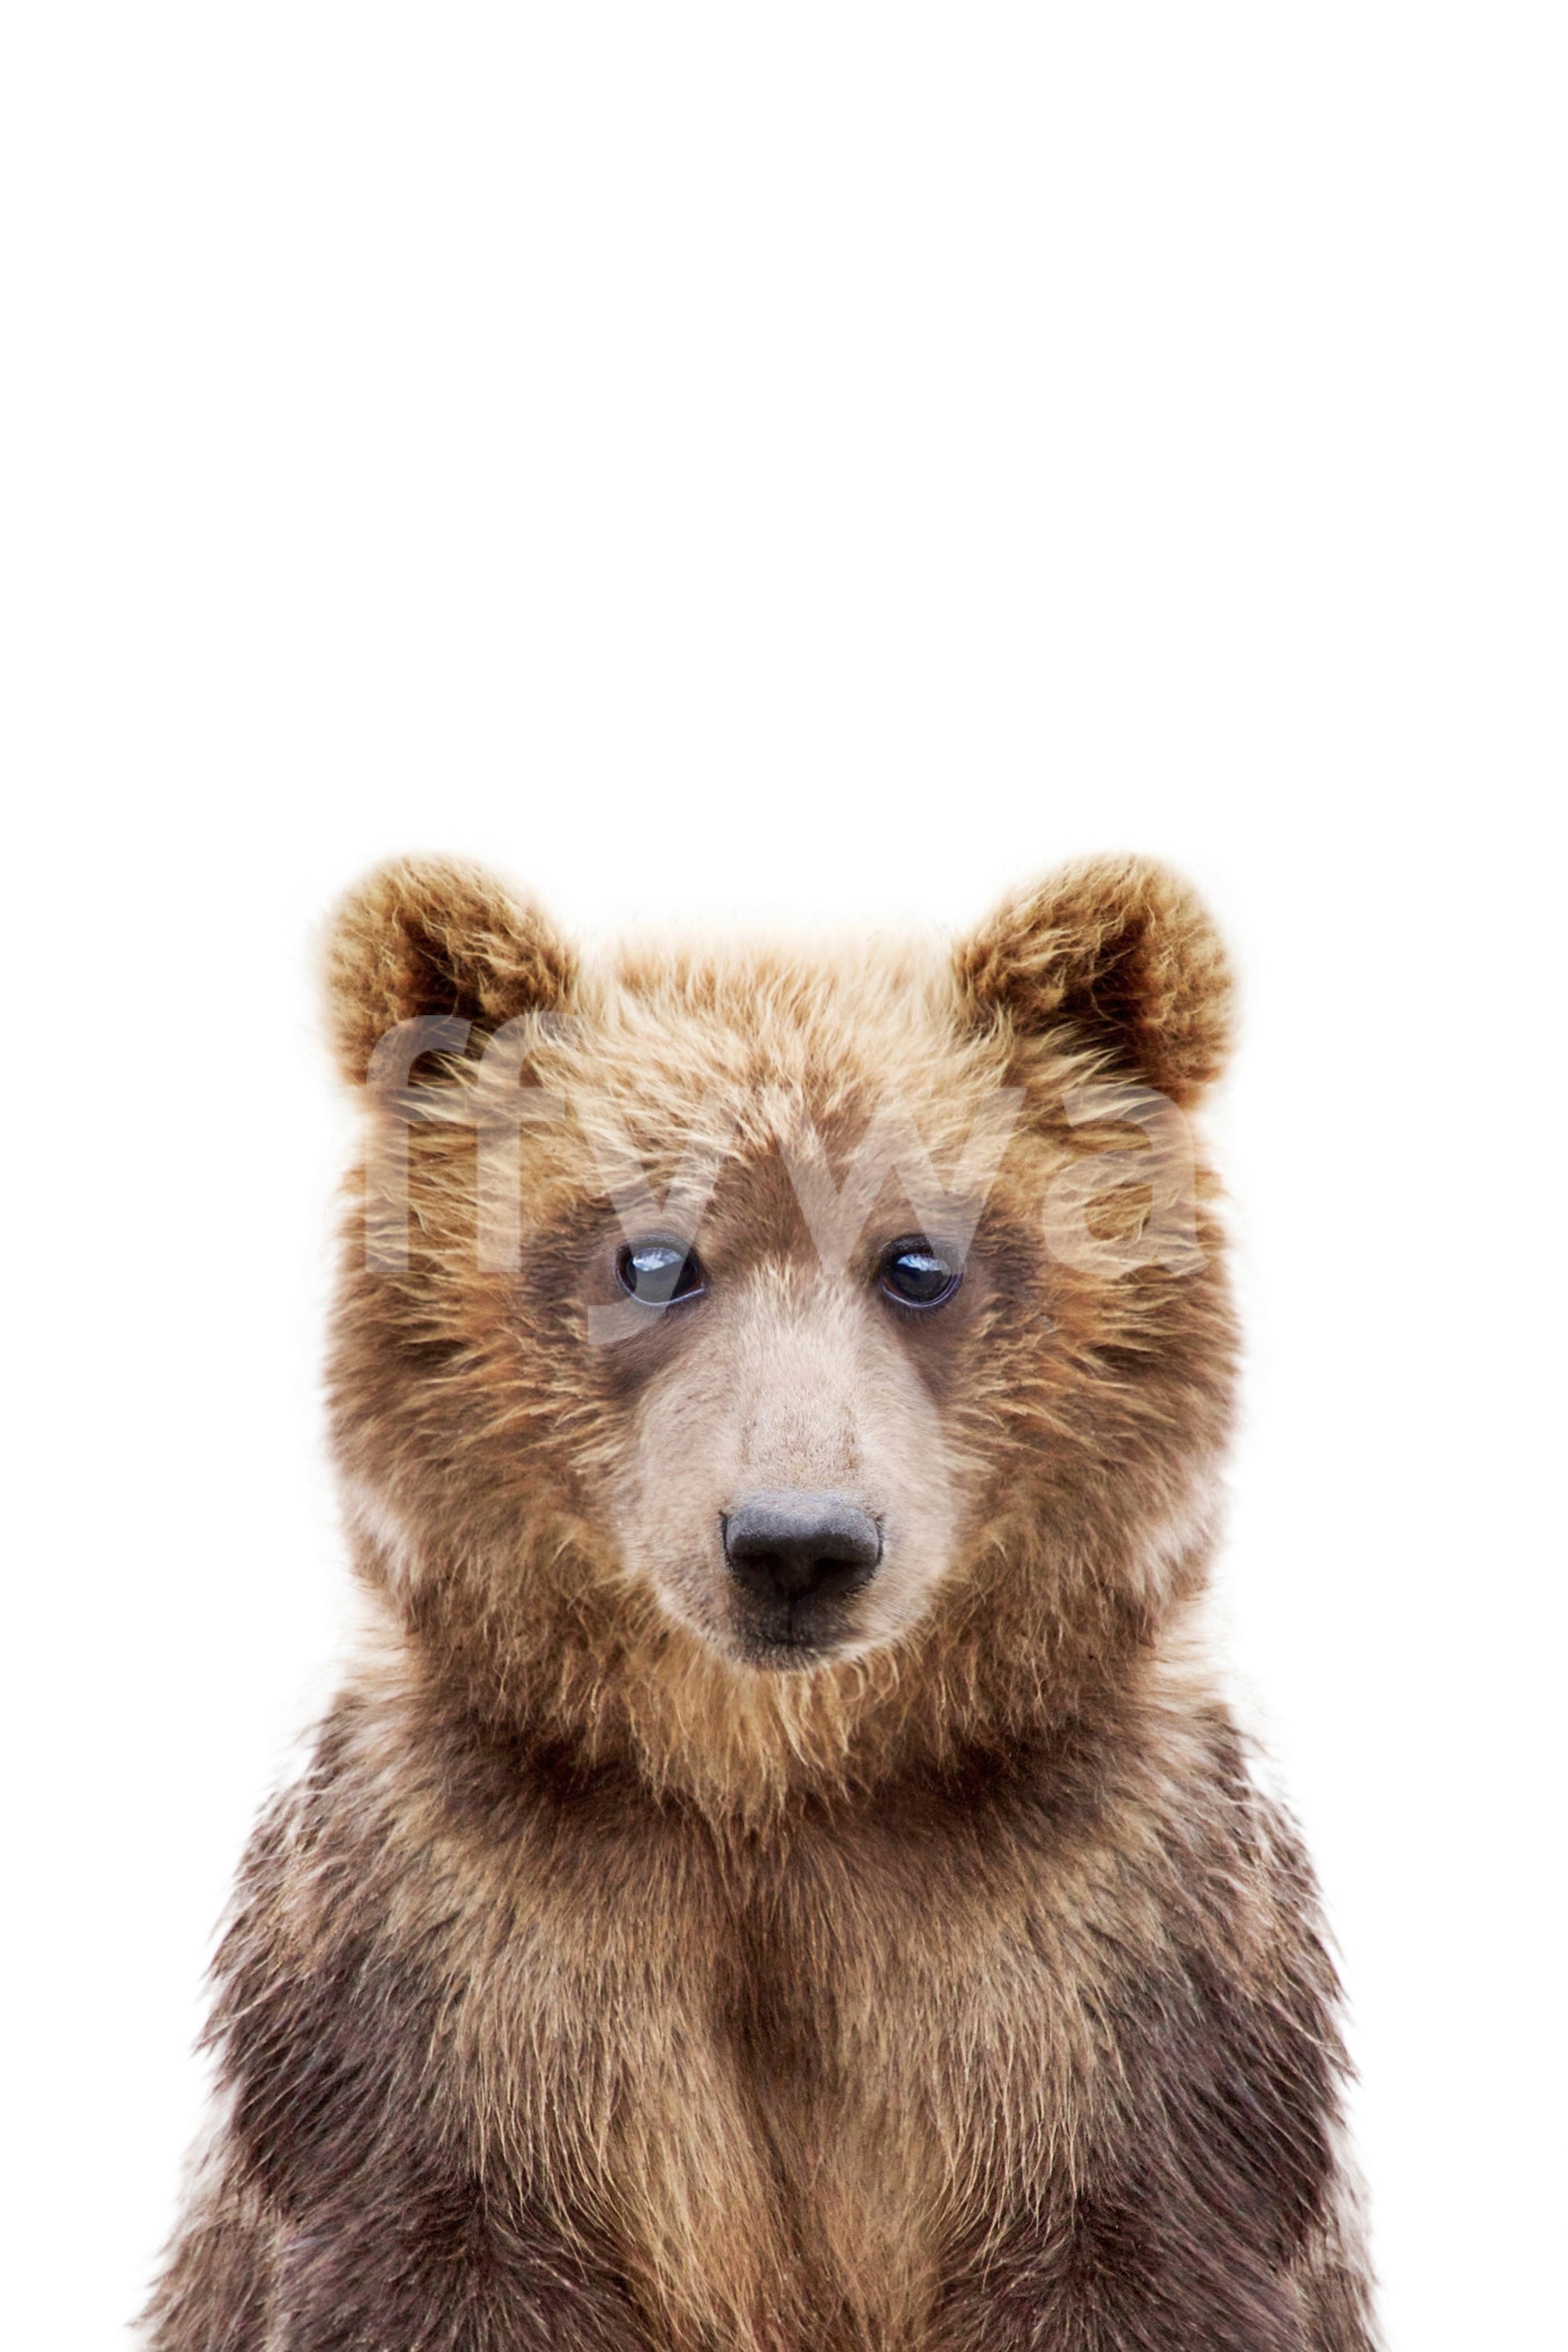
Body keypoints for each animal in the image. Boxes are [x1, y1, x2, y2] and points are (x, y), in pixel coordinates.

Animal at [141, 852, 1378, 2352]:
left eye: (920, 1258)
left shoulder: (1106, 1965)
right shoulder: (456, 1964)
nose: (797, 1541)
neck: (772, 1784)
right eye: (652, 1255)